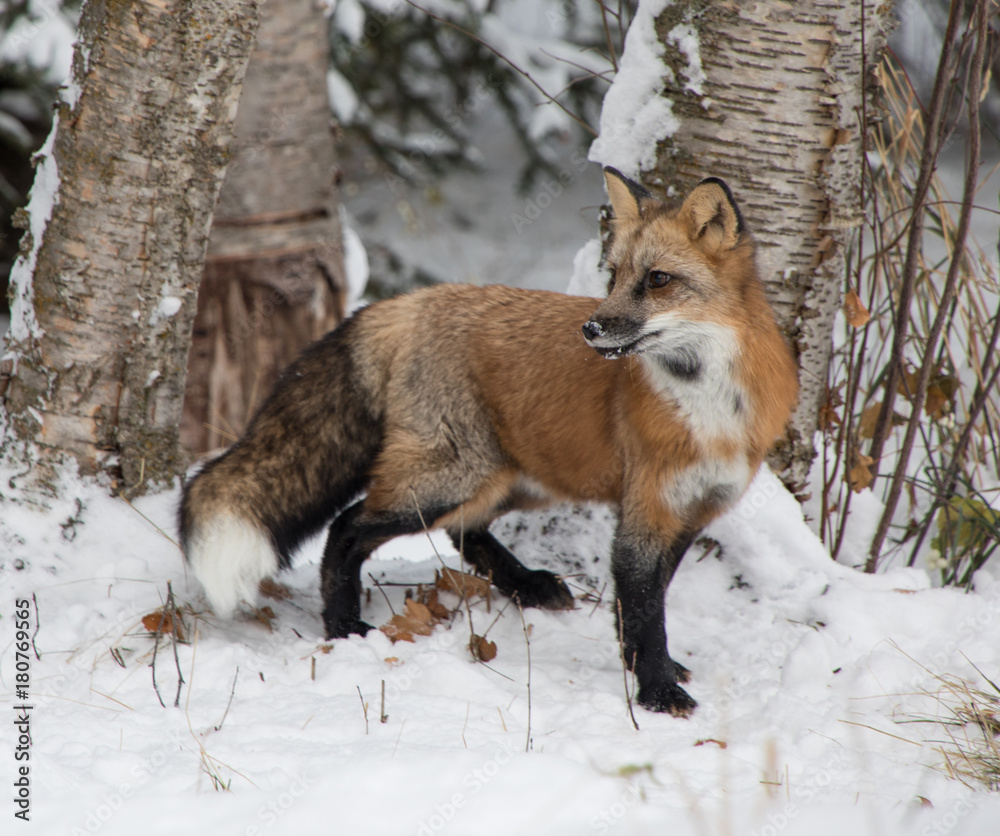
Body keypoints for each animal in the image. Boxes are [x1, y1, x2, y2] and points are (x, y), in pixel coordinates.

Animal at [179, 167, 799, 716]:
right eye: (615, 277)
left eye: (658, 280)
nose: (591, 329)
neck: (710, 405)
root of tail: (405, 301)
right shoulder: (647, 509)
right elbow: (646, 611)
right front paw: (657, 692)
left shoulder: (690, 511)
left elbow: (642, 606)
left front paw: (651, 669)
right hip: (450, 479)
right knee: (348, 528)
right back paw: (344, 626)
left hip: (518, 478)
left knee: (462, 532)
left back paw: (527, 585)